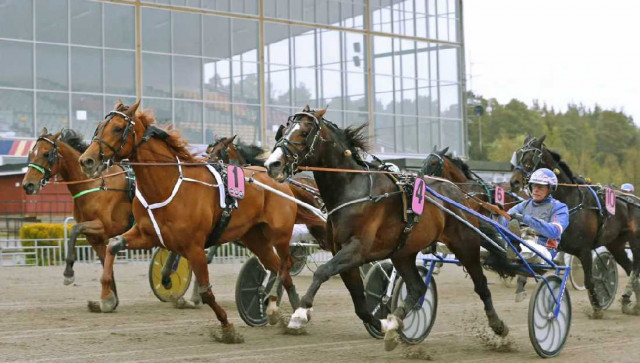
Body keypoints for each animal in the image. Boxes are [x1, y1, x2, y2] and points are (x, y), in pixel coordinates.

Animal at [21, 129, 132, 312]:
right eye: (31, 153)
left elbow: (74, 230)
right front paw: (110, 300)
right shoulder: (95, 237)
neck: (94, 184)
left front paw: (68, 273)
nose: (28, 185)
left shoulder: (105, 226)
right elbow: (106, 263)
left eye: (46, 154)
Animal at [77, 100, 300, 342]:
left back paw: (291, 310)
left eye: (118, 128)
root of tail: (279, 180)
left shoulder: (194, 247)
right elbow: (113, 245)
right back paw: (284, 311)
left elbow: (206, 291)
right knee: (277, 268)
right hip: (255, 238)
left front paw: (227, 327)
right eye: (99, 126)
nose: (86, 160)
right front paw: (106, 298)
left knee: (286, 266)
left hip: (280, 235)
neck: (167, 186)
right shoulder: (148, 235)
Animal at [262, 106, 508, 352]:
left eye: (304, 132)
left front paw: (300, 313)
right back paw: (394, 324)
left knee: (481, 284)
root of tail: (459, 194)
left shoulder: (357, 249)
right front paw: (383, 324)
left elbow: (322, 272)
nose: (272, 164)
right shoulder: (342, 253)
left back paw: (498, 326)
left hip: (465, 243)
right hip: (403, 253)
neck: (354, 189)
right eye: (284, 130)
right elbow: (360, 305)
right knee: (417, 288)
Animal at [510, 135, 640, 318]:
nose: (513, 182)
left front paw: (597, 308)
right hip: (615, 243)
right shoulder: (555, 244)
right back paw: (631, 303)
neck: (570, 201)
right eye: (519, 154)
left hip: (635, 240)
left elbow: (589, 280)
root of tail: (633, 199)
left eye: (530, 158)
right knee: (628, 267)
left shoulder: (584, 250)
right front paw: (521, 287)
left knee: (635, 268)